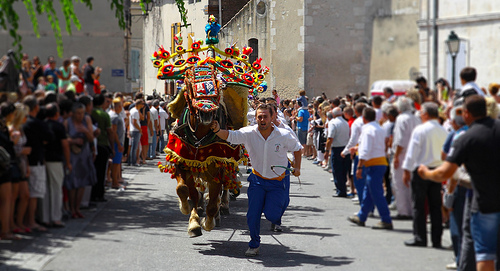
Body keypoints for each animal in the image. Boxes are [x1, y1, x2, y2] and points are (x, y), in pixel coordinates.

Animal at [152, 17, 270, 238]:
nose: (206, 113)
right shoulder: (184, 160)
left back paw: (222, 208)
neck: (199, 135)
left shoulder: (217, 162)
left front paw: (209, 220)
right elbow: (186, 191)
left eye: (216, 81)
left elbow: (214, 195)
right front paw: (192, 219)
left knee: (224, 188)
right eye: (190, 83)